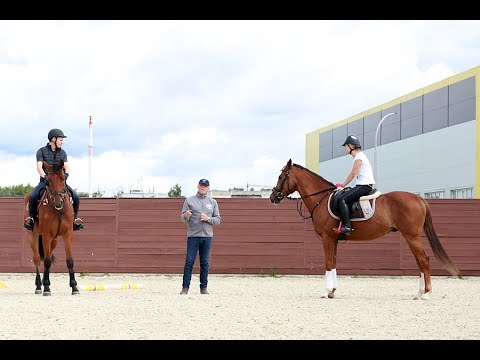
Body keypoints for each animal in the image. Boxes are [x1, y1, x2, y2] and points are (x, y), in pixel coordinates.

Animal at [23, 160, 79, 296]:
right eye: (48, 181)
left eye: (63, 178)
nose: (58, 202)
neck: (58, 210)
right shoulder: (46, 235)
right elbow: (47, 261)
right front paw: (47, 288)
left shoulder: (68, 235)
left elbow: (70, 260)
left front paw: (74, 287)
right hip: (33, 236)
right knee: (37, 259)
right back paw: (39, 286)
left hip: (54, 240)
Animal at [270, 159, 462, 300]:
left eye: (281, 176)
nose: (273, 197)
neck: (322, 199)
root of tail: (419, 199)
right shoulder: (334, 240)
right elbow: (333, 263)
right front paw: (332, 291)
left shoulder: (327, 238)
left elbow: (328, 263)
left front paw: (326, 292)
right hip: (411, 237)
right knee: (420, 261)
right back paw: (419, 292)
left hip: (412, 236)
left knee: (424, 259)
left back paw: (426, 293)